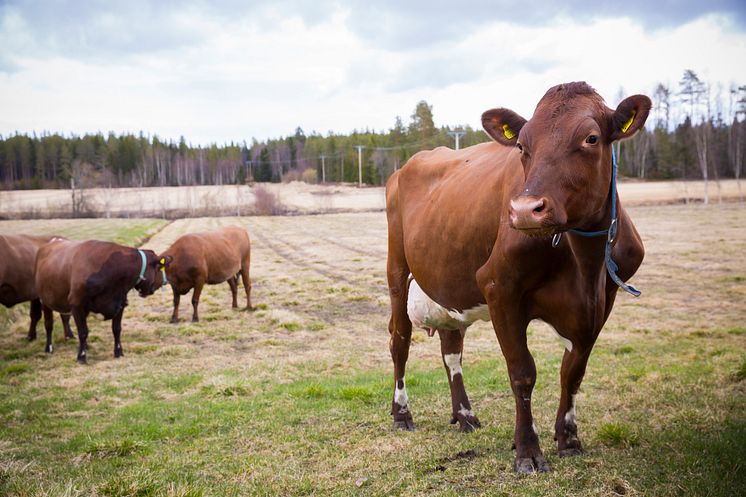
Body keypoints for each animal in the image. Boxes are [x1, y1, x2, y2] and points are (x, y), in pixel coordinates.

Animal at [35, 238, 171, 362]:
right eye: (159, 268)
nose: (164, 282)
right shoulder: (76, 304)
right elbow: (83, 332)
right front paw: (81, 357)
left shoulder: (120, 303)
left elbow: (116, 329)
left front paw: (118, 352)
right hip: (44, 300)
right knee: (49, 324)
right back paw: (49, 348)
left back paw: (86, 346)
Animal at [386, 82, 648, 472]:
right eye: (522, 145)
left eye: (591, 138)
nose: (525, 211)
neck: (585, 265)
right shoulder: (499, 287)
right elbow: (522, 372)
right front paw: (527, 450)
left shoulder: (603, 302)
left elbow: (573, 372)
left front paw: (568, 438)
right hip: (397, 271)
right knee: (399, 340)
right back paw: (402, 413)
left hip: (448, 284)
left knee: (451, 349)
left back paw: (465, 415)